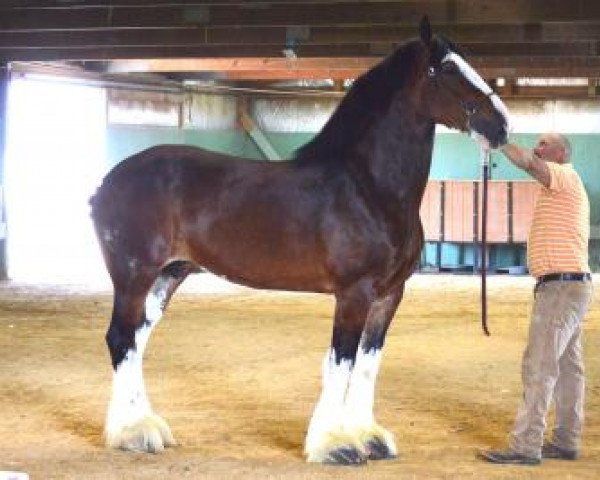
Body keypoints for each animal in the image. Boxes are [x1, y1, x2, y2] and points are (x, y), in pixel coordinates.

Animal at [91, 17, 508, 464]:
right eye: (446, 68)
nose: (501, 125)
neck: (369, 188)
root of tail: (107, 184)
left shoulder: (389, 295)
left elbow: (367, 363)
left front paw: (370, 437)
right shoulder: (354, 293)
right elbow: (341, 362)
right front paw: (334, 444)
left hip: (169, 274)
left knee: (136, 339)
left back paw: (141, 427)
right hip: (134, 275)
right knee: (121, 339)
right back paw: (133, 434)